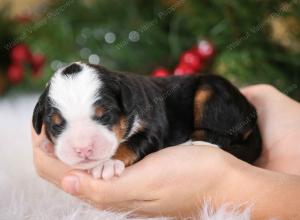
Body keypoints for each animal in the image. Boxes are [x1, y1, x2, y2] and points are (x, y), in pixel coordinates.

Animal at [32, 61, 262, 179]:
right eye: (56, 124)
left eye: (104, 116)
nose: (83, 149)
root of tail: (252, 111)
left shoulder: (152, 128)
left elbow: (131, 144)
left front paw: (108, 163)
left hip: (212, 92)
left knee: (221, 136)